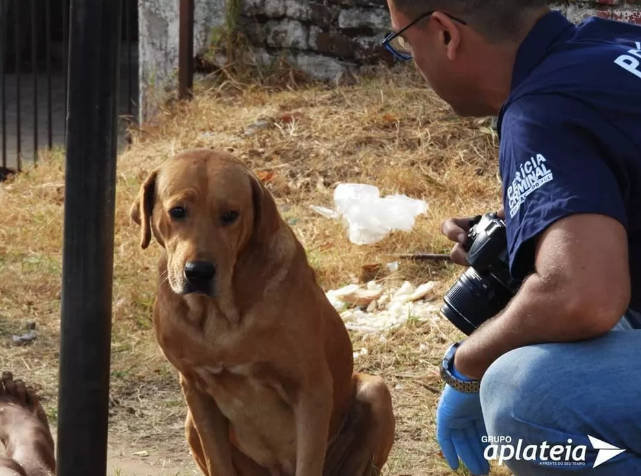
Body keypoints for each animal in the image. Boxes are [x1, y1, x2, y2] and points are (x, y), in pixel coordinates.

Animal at [131, 150, 396, 476]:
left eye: (230, 215)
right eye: (177, 211)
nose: (199, 273)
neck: (220, 315)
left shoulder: (311, 389)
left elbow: (308, 460)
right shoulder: (195, 389)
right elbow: (217, 460)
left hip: (375, 391)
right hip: (190, 422)